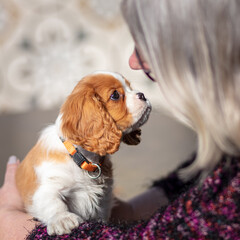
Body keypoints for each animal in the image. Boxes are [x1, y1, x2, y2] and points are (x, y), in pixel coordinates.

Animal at [15, 71, 152, 234]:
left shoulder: (104, 197)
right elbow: (52, 202)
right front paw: (63, 219)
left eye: (130, 87)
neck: (82, 157)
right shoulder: (46, 186)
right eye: (115, 95)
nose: (142, 94)